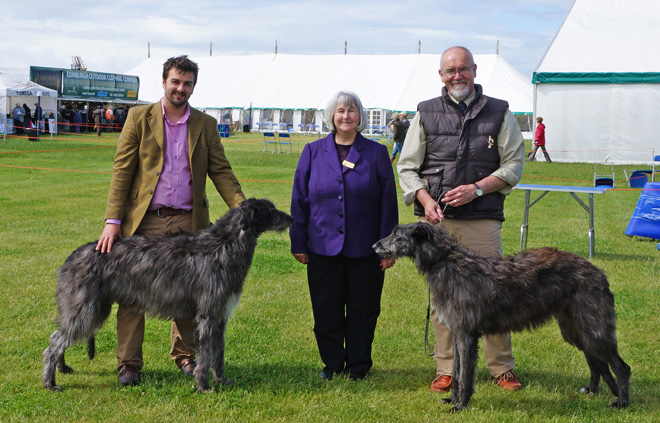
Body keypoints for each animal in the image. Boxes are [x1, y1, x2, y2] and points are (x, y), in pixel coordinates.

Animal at [43, 200, 292, 392]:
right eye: (270, 210)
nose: (290, 218)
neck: (222, 245)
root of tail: (72, 257)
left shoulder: (220, 318)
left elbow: (218, 354)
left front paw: (222, 380)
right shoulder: (207, 317)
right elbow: (205, 356)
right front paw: (204, 387)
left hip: (93, 307)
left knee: (58, 334)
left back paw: (62, 368)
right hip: (85, 308)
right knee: (54, 343)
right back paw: (50, 382)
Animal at [374, 224, 632, 412]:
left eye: (396, 235)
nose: (374, 244)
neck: (447, 262)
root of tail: (599, 272)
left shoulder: (467, 335)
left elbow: (465, 373)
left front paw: (461, 405)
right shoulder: (458, 333)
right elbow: (456, 370)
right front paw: (452, 399)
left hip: (595, 328)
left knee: (621, 367)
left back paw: (622, 402)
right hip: (577, 330)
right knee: (596, 362)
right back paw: (592, 390)